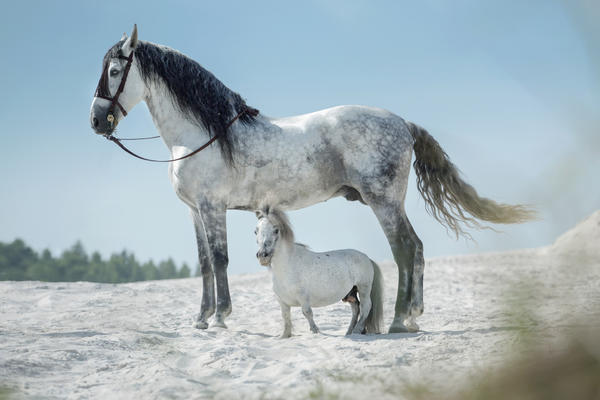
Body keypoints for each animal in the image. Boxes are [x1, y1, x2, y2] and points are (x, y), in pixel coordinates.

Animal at [253, 206, 384, 338]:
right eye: (255, 231)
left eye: (276, 230)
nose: (262, 256)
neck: (286, 269)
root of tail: (367, 258)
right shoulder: (282, 302)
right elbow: (286, 318)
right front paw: (284, 336)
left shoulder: (303, 298)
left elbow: (307, 313)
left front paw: (315, 332)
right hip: (350, 294)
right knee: (356, 309)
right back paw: (349, 333)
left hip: (363, 288)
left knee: (365, 307)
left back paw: (356, 330)